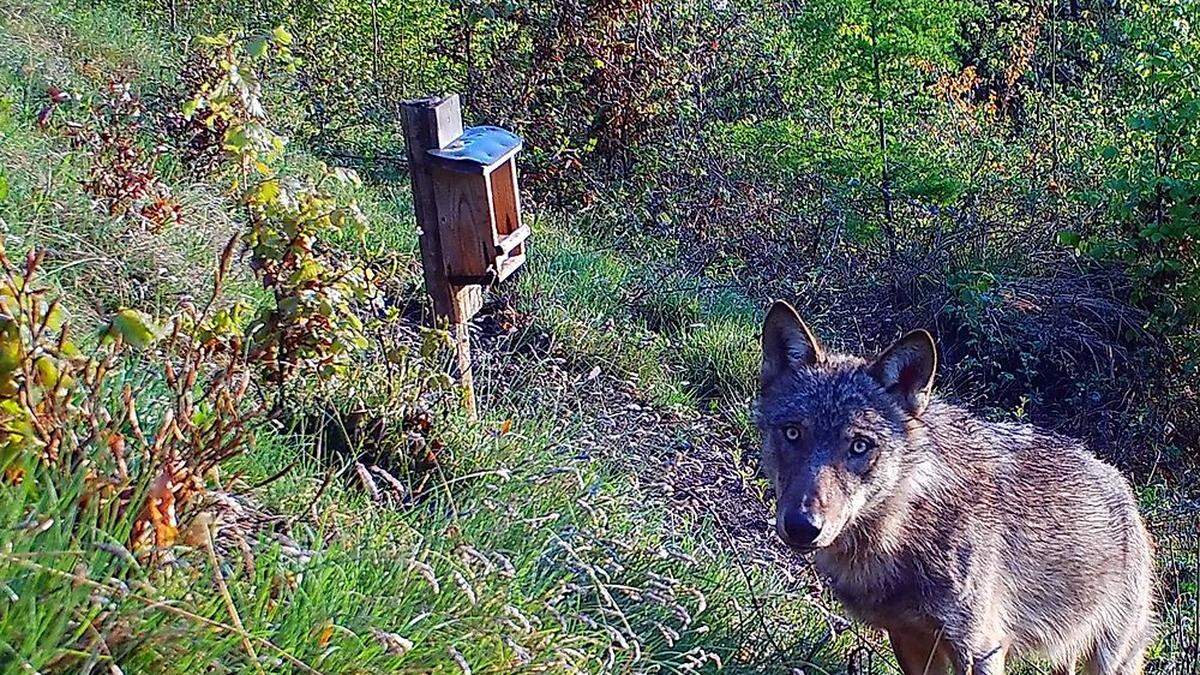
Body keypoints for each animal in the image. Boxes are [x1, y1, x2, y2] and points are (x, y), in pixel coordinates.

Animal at [758, 300, 1152, 672]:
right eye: (792, 433)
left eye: (859, 446)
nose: (802, 527)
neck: (906, 526)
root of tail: (1122, 486)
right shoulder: (909, 640)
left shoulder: (980, 648)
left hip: (1112, 659)